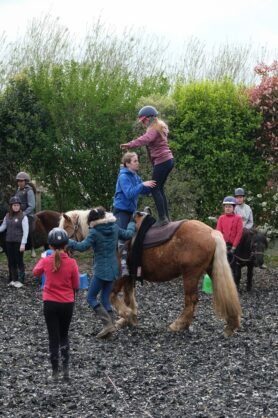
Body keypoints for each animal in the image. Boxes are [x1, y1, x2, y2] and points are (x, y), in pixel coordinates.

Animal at [109, 212, 242, 336]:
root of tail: (211, 232)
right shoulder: (128, 277)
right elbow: (128, 297)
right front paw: (127, 318)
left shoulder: (120, 275)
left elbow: (112, 296)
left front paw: (127, 314)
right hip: (211, 270)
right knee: (227, 294)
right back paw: (231, 324)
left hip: (190, 275)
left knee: (191, 300)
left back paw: (179, 324)